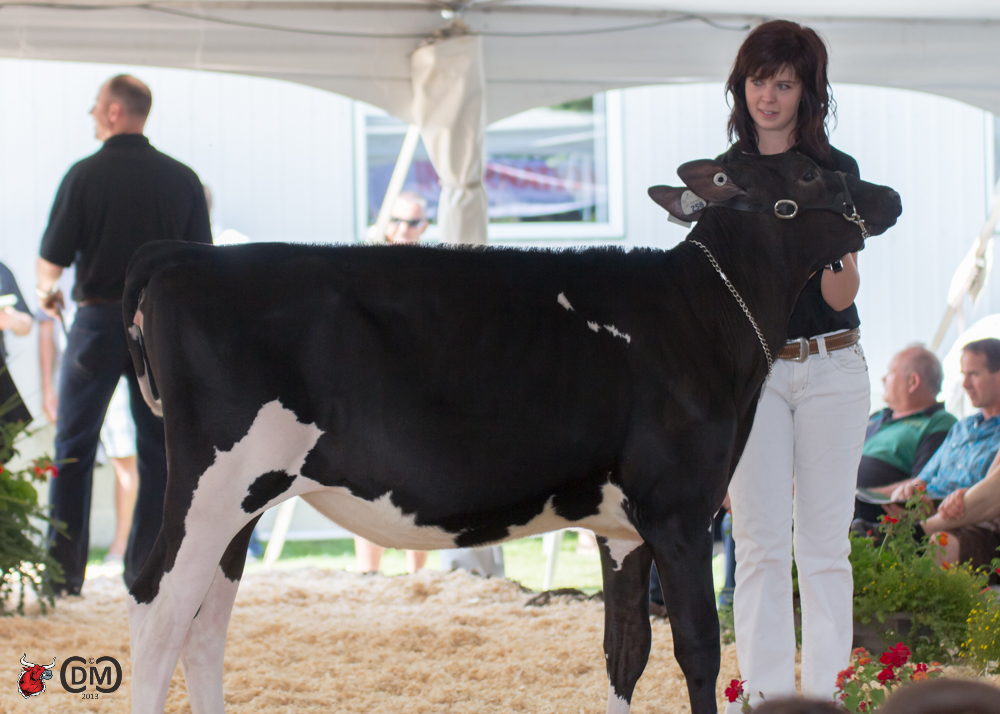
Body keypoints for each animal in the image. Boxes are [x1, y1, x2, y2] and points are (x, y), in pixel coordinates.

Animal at [122, 151, 900, 714]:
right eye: (808, 172)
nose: (890, 197)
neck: (702, 313)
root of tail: (178, 256)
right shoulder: (680, 513)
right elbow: (699, 651)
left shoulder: (622, 530)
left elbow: (625, 652)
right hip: (212, 489)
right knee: (156, 616)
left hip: (243, 504)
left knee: (204, 629)